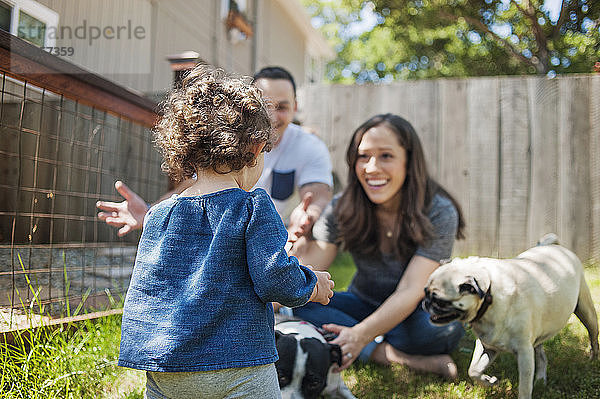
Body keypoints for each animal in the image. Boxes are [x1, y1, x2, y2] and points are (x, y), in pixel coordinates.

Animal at [424, 234, 596, 399]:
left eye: (439, 301)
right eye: (425, 291)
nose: (425, 303)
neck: (490, 293)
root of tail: (554, 246)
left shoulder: (525, 354)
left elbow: (525, 388)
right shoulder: (487, 345)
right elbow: (473, 371)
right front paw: (489, 381)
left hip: (586, 311)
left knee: (593, 336)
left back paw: (593, 359)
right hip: (536, 337)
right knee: (542, 357)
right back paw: (541, 380)